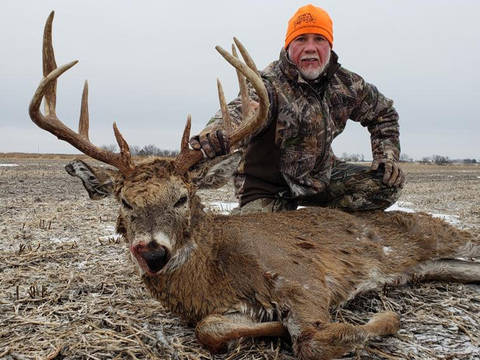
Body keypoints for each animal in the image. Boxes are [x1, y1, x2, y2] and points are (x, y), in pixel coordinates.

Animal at [30, 11, 480, 360]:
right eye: (124, 202)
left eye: (182, 198)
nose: (152, 253)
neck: (214, 271)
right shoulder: (218, 312)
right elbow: (211, 330)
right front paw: (273, 328)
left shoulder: (304, 279)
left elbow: (315, 340)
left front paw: (386, 318)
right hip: (439, 265)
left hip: (443, 236)